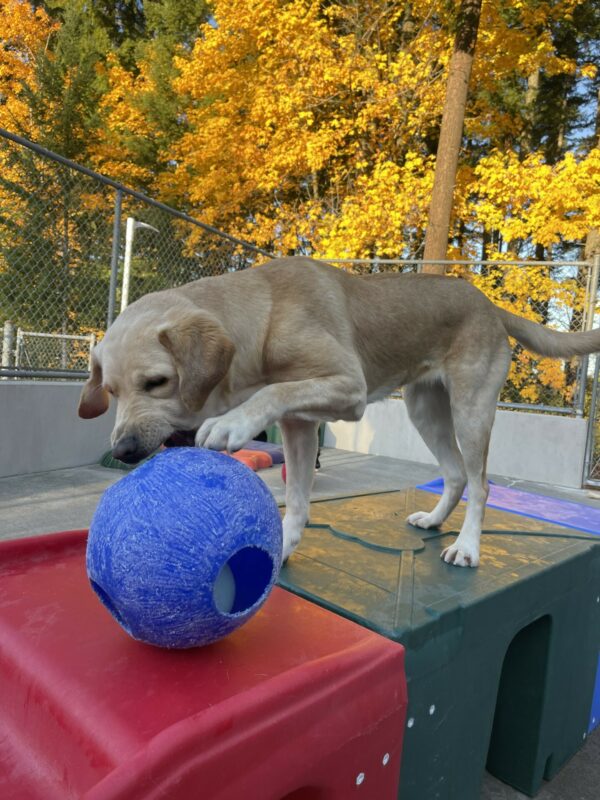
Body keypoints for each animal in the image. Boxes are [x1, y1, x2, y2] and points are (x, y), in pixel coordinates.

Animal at [79, 255, 600, 564]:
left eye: (157, 382)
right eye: (112, 391)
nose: (123, 451)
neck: (265, 315)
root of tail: (489, 304)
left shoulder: (349, 389)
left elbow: (270, 394)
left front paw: (230, 423)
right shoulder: (299, 425)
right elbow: (297, 499)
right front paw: (284, 545)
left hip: (471, 412)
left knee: (481, 484)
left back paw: (467, 546)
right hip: (425, 410)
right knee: (454, 476)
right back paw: (434, 521)